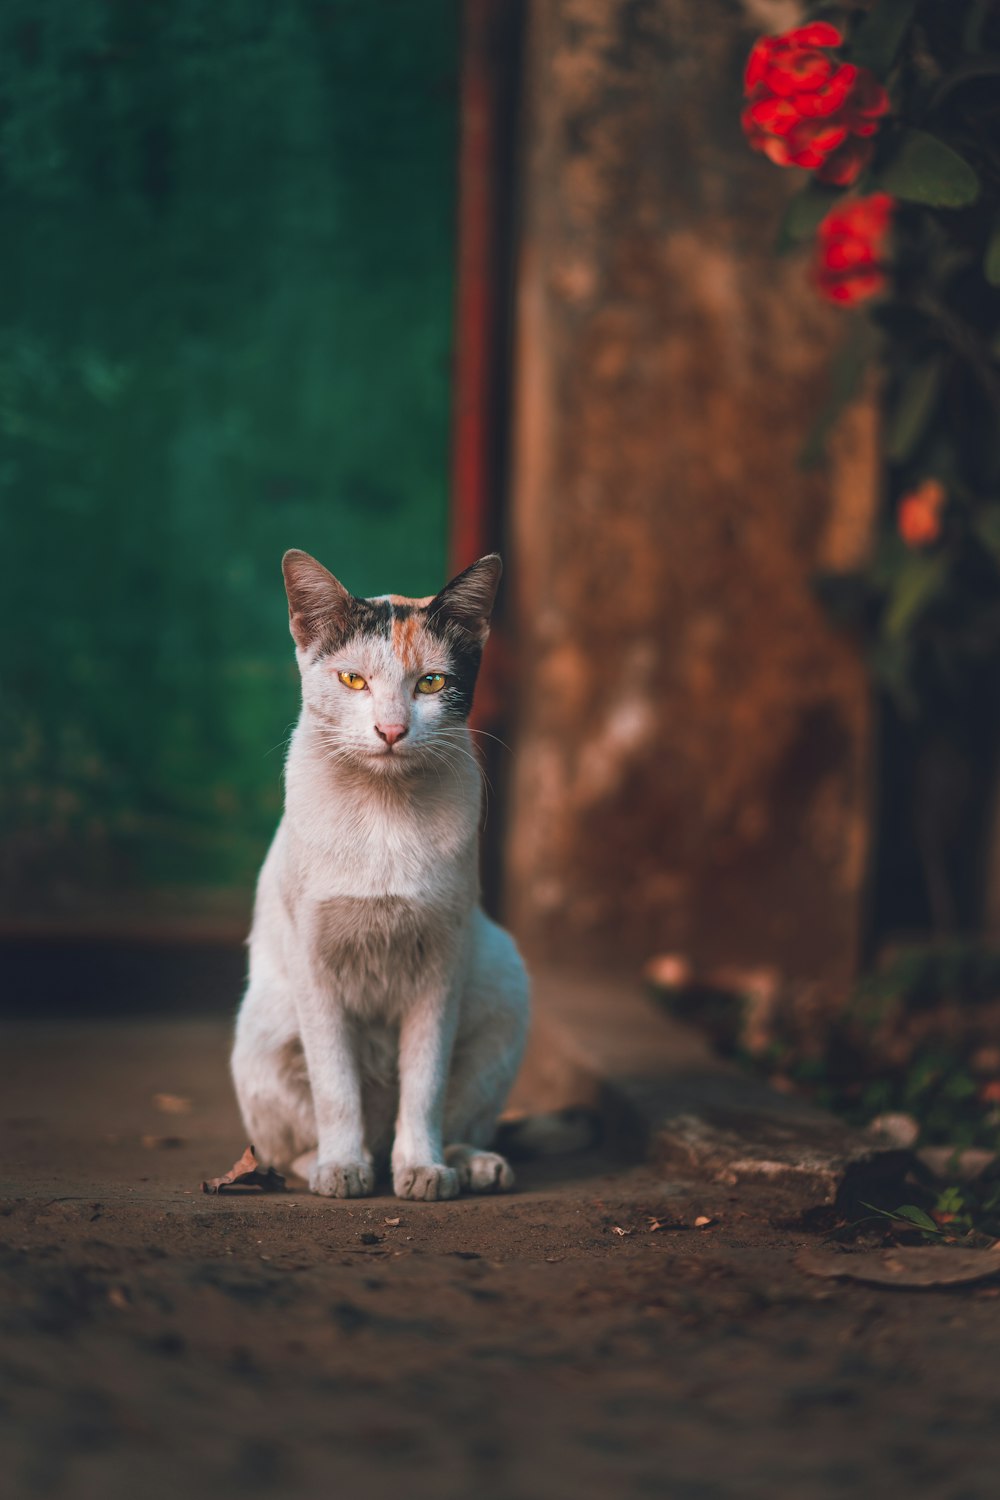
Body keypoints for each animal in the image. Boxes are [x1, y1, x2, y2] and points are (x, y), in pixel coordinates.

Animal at [229, 546, 530, 1200]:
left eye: (432, 682)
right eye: (353, 680)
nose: (391, 730)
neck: (383, 814)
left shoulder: (442, 965)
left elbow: (425, 1083)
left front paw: (424, 1168)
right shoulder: (314, 966)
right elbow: (335, 1087)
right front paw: (342, 1168)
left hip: (504, 989)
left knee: (443, 1114)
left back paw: (468, 1164)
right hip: (264, 1031)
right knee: (292, 1144)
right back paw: (334, 1161)